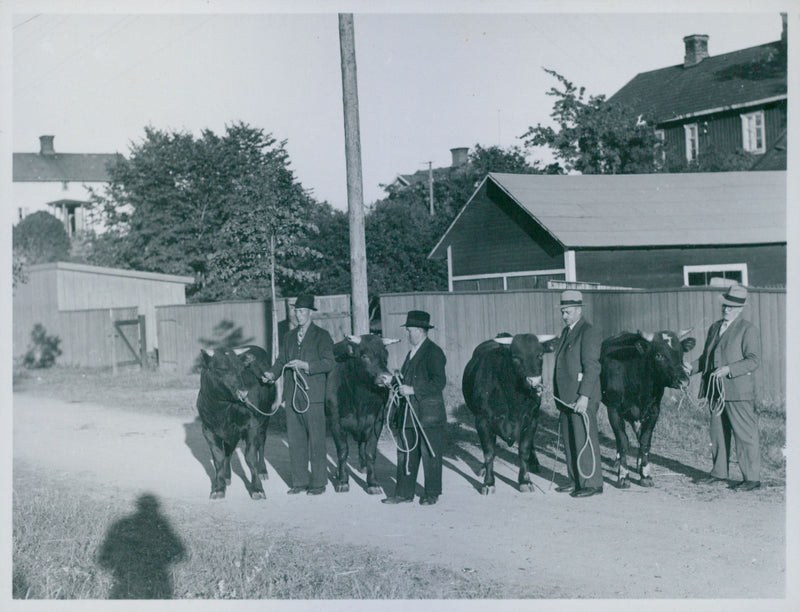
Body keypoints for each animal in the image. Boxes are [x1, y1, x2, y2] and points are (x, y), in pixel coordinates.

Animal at [197, 346, 278, 500]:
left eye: (241, 370)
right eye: (221, 368)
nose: (243, 392)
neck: (223, 409)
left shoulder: (252, 426)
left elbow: (250, 457)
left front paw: (257, 489)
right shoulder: (208, 430)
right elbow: (219, 458)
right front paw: (218, 487)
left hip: (265, 420)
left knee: (261, 444)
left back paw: (262, 471)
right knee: (229, 451)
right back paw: (227, 476)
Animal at [324, 332, 400, 494]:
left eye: (385, 356)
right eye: (364, 356)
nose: (387, 377)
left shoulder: (377, 421)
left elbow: (370, 452)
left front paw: (373, 483)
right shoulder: (335, 422)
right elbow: (342, 451)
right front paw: (343, 481)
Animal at [462, 332, 556, 494]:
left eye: (540, 355)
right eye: (516, 357)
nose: (534, 381)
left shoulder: (532, 419)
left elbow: (524, 451)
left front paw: (525, 480)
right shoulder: (482, 421)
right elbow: (489, 453)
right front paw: (488, 483)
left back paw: (534, 463)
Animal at [600, 328, 692, 490]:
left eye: (681, 354)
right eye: (659, 355)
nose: (684, 380)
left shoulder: (654, 411)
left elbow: (645, 441)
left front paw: (645, 474)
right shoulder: (613, 409)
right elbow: (623, 441)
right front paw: (623, 476)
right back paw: (618, 462)